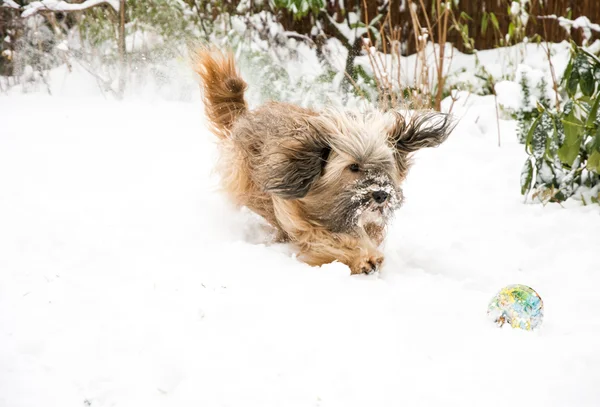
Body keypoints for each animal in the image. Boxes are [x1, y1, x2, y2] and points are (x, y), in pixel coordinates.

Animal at [195, 49, 452, 276]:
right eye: (353, 166)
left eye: (383, 166)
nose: (381, 194)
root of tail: (246, 116)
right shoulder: (301, 217)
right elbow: (332, 239)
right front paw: (364, 258)